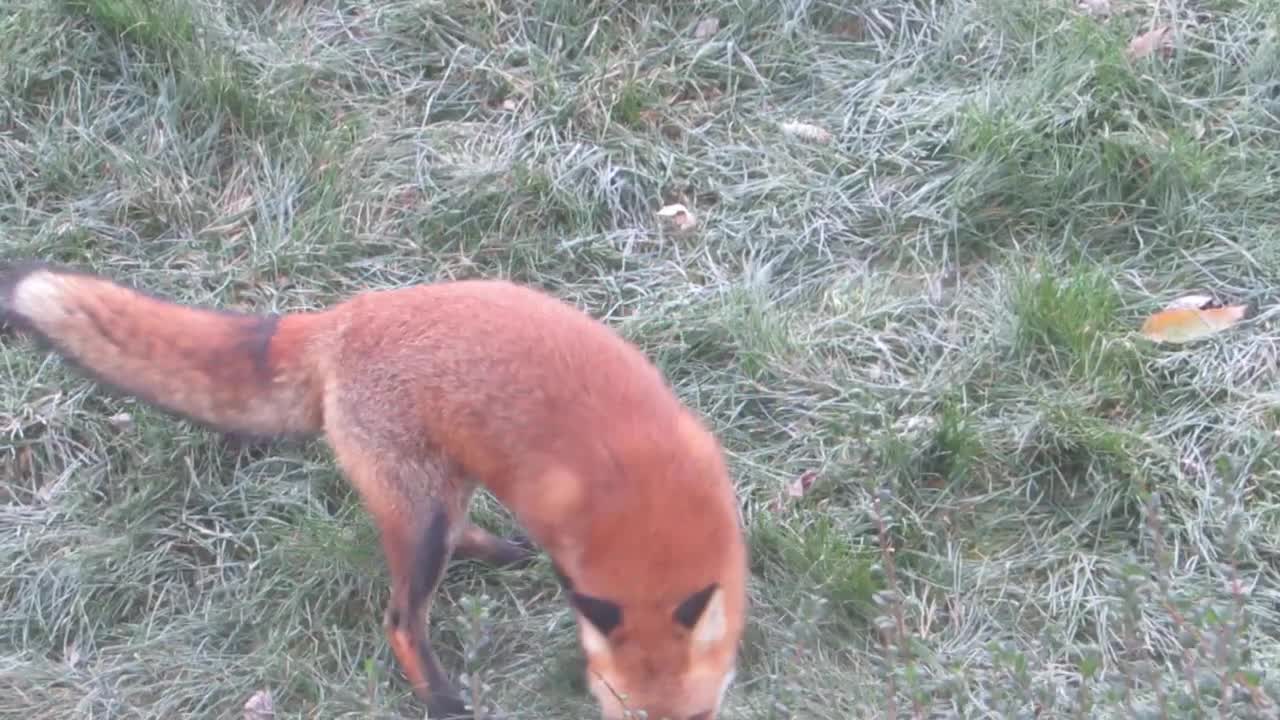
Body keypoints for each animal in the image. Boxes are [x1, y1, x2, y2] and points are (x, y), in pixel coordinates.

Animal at [0, 260, 747, 717]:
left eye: (698, 715)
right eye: (627, 716)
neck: (648, 515)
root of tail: (342, 319)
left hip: (445, 489)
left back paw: (501, 553)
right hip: (422, 520)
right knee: (400, 620)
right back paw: (441, 698)